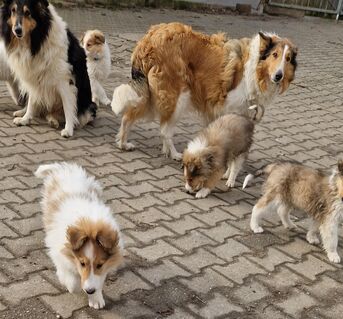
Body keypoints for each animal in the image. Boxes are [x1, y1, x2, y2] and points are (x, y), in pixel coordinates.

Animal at [1, 0, 97, 138]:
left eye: (28, 12)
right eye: (13, 10)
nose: (17, 30)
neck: (37, 39)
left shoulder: (65, 81)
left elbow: (68, 107)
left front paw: (68, 130)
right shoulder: (33, 76)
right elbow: (31, 102)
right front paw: (25, 119)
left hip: (90, 105)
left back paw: (54, 120)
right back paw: (25, 113)